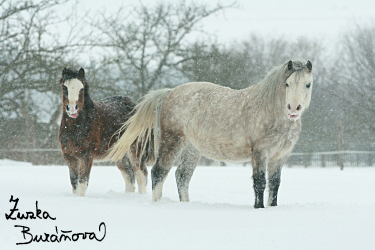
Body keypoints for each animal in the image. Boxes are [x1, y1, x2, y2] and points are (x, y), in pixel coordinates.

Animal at [58, 67, 153, 196]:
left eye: (81, 89)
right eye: (65, 88)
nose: (72, 109)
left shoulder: (86, 156)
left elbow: (82, 182)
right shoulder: (69, 156)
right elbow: (74, 183)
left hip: (135, 150)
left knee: (141, 175)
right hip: (121, 155)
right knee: (129, 176)